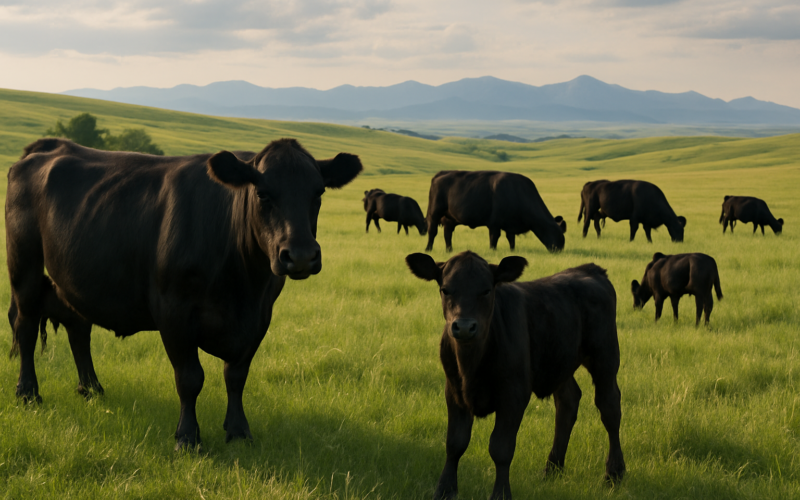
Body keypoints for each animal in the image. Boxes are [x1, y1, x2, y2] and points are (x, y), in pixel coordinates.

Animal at [6, 137, 362, 449]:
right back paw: (28, 393)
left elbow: (236, 376)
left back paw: (91, 388)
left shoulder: (260, 316)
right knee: (25, 325)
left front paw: (238, 431)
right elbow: (190, 378)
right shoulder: (173, 311)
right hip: (24, 263)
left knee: (78, 328)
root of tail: (49, 146)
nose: (300, 256)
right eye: (262, 194)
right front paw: (188, 438)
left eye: (318, 193)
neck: (242, 286)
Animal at [406, 251, 625, 499]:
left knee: (609, 407)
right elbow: (455, 443)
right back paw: (552, 468)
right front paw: (445, 490)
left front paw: (501, 493)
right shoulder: (453, 391)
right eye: (445, 289)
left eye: (486, 290)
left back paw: (614, 473)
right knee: (568, 402)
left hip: (605, 356)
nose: (463, 327)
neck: (471, 365)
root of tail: (590, 269)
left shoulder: (514, 394)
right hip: (559, 359)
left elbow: (501, 448)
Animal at [424, 170, 566, 253]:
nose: (559, 250)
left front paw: (513, 251)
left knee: (447, 234)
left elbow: (511, 239)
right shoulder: (494, 224)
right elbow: (494, 238)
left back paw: (450, 250)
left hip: (449, 219)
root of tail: (441, 173)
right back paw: (428, 249)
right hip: (434, 213)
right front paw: (493, 251)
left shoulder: (510, 225)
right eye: (559, 234)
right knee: (432, 231)